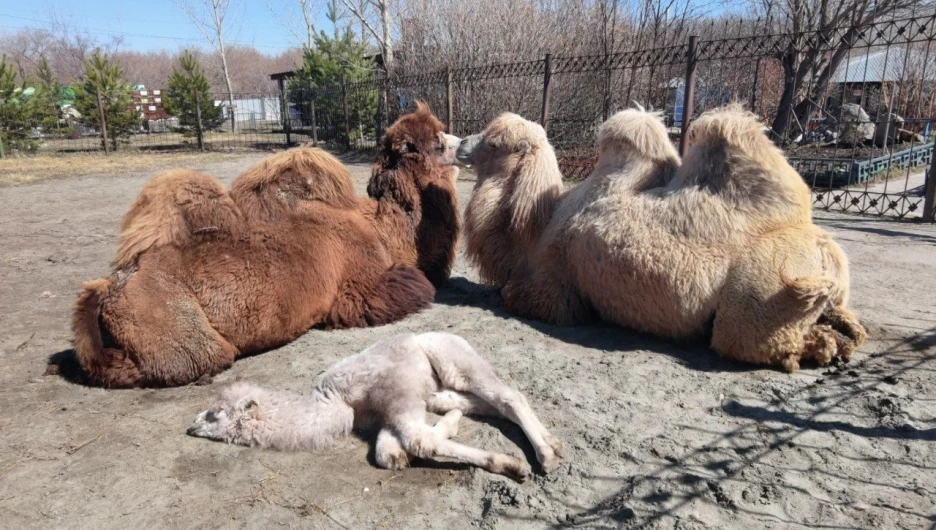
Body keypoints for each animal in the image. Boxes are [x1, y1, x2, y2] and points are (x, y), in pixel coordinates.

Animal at [71, 101, 462, 386]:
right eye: (437, 142)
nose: (462, 143)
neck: (383, 228)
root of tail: (109, 290)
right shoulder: (361, 291)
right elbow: (417, 286)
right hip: (189, 339)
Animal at [186, 332, 560, 480]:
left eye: (214, 414)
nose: (190, 426)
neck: (336, 401)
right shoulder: (383, 414)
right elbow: (388, 453)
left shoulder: (397, 394)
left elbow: (421, 441)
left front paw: (510, 464)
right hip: (443, 387)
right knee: (486, 403)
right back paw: (554, 445)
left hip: (456, 360)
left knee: (508, 395)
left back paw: (545, 457)